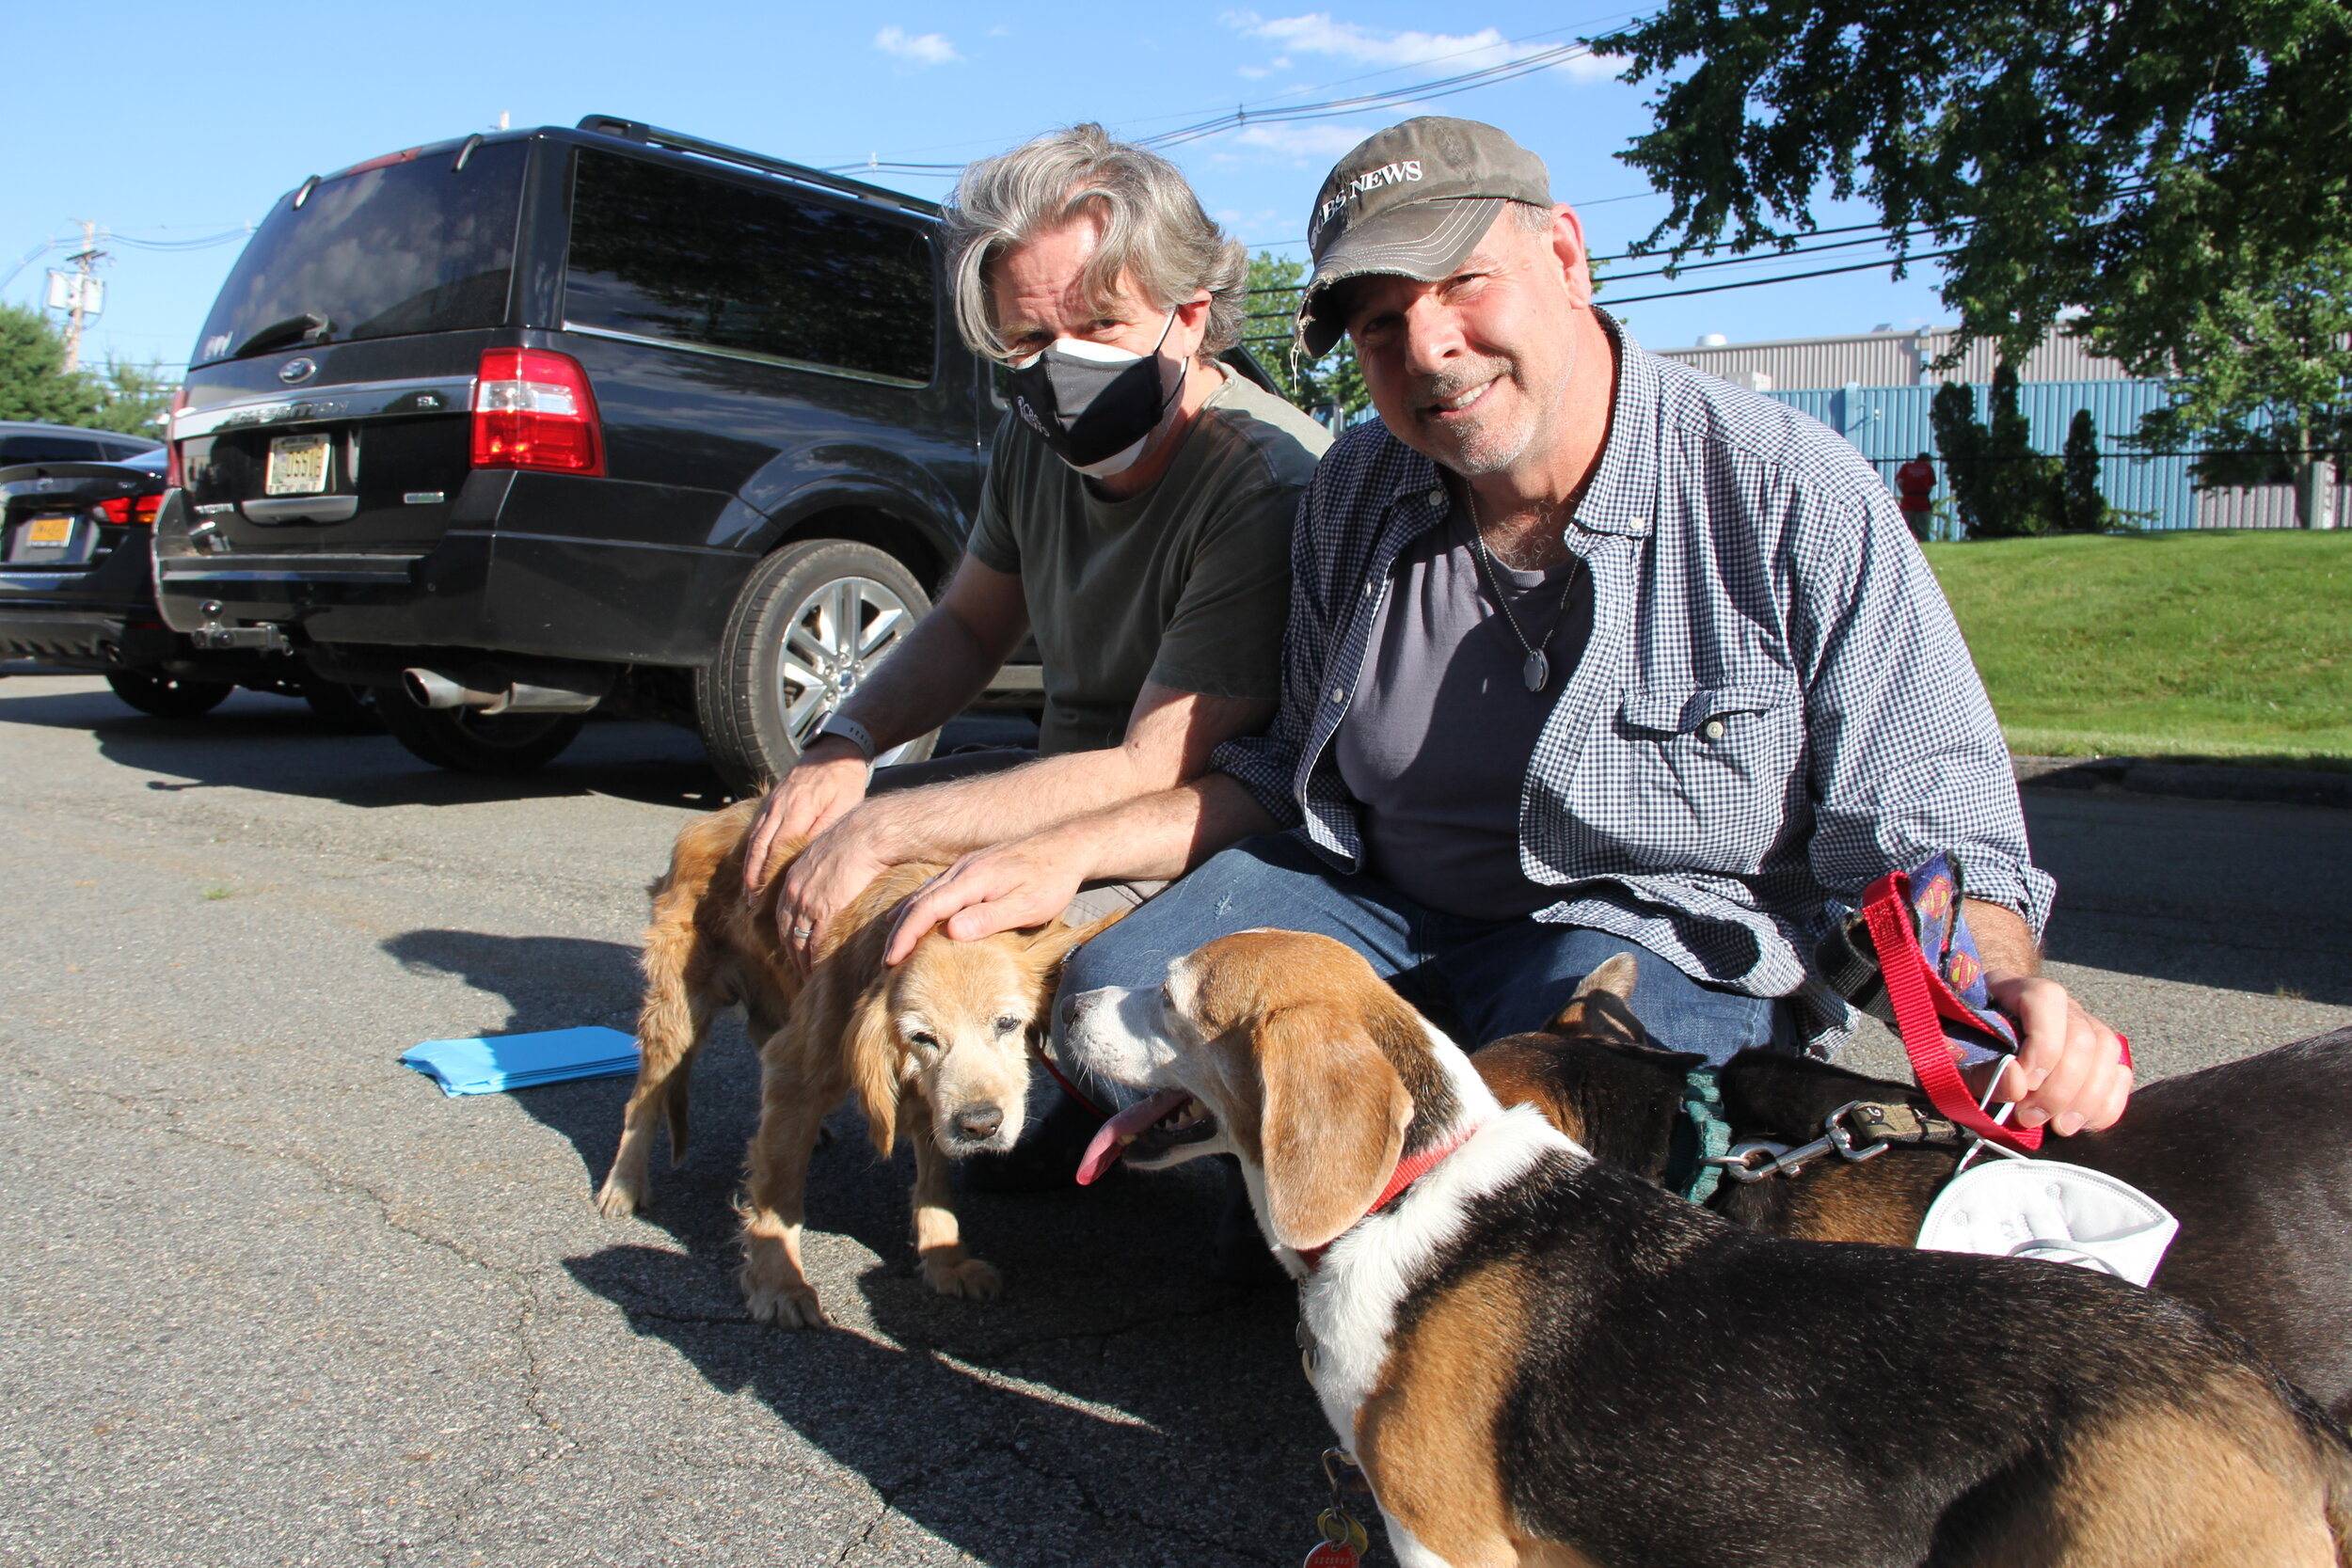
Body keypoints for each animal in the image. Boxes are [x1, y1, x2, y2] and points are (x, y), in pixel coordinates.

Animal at [597, 803, 1110, 1335]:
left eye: (1007, 1023)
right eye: (922, 1038)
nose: (980, 1126)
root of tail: (712, 817)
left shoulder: (927, 1097)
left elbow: (935, 1180)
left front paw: (945, 1260)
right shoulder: (800, 1072)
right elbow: (778, 1189)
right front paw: (780, 1284)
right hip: (678, 1013)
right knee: (644, 1098)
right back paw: (624, 1183)